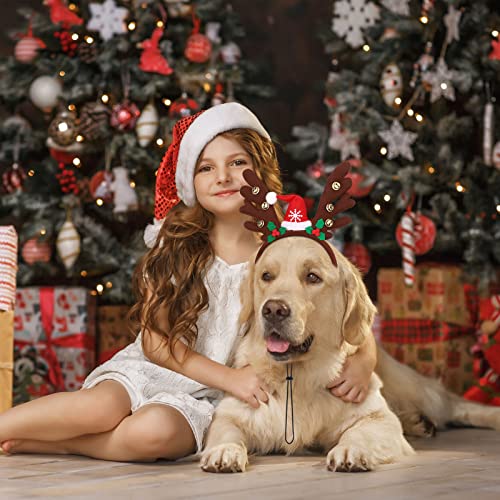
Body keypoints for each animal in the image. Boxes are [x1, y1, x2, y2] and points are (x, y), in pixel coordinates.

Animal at [201, 238, 500, 472]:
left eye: (312, 277)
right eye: (266, 276)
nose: (273, 310)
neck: (297, 379)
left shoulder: (378, 417)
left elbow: (362, 432)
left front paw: (351, 450)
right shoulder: (232, 411)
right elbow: (226, 430)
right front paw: (225, 451)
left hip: (413, 388)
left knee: (456, 403)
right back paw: (417, 423)